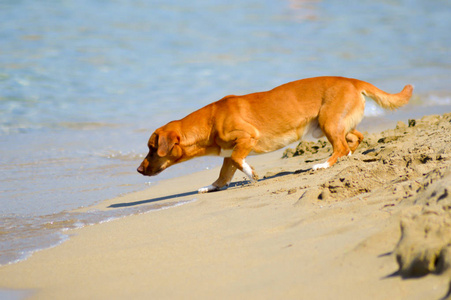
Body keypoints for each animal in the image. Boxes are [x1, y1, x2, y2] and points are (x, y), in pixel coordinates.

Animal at [137, 76, 414, 193]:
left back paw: (323, 164)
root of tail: (353, 81)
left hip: (328, 123)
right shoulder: (228, 153)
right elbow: (224, 173)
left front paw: (252, 174)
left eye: (151, 148)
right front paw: (212, 186)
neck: (210, 120)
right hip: (330, 125)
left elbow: (238, 161)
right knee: (356, 138)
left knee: (342, 147)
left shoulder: (247, 139)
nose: (138, 170)